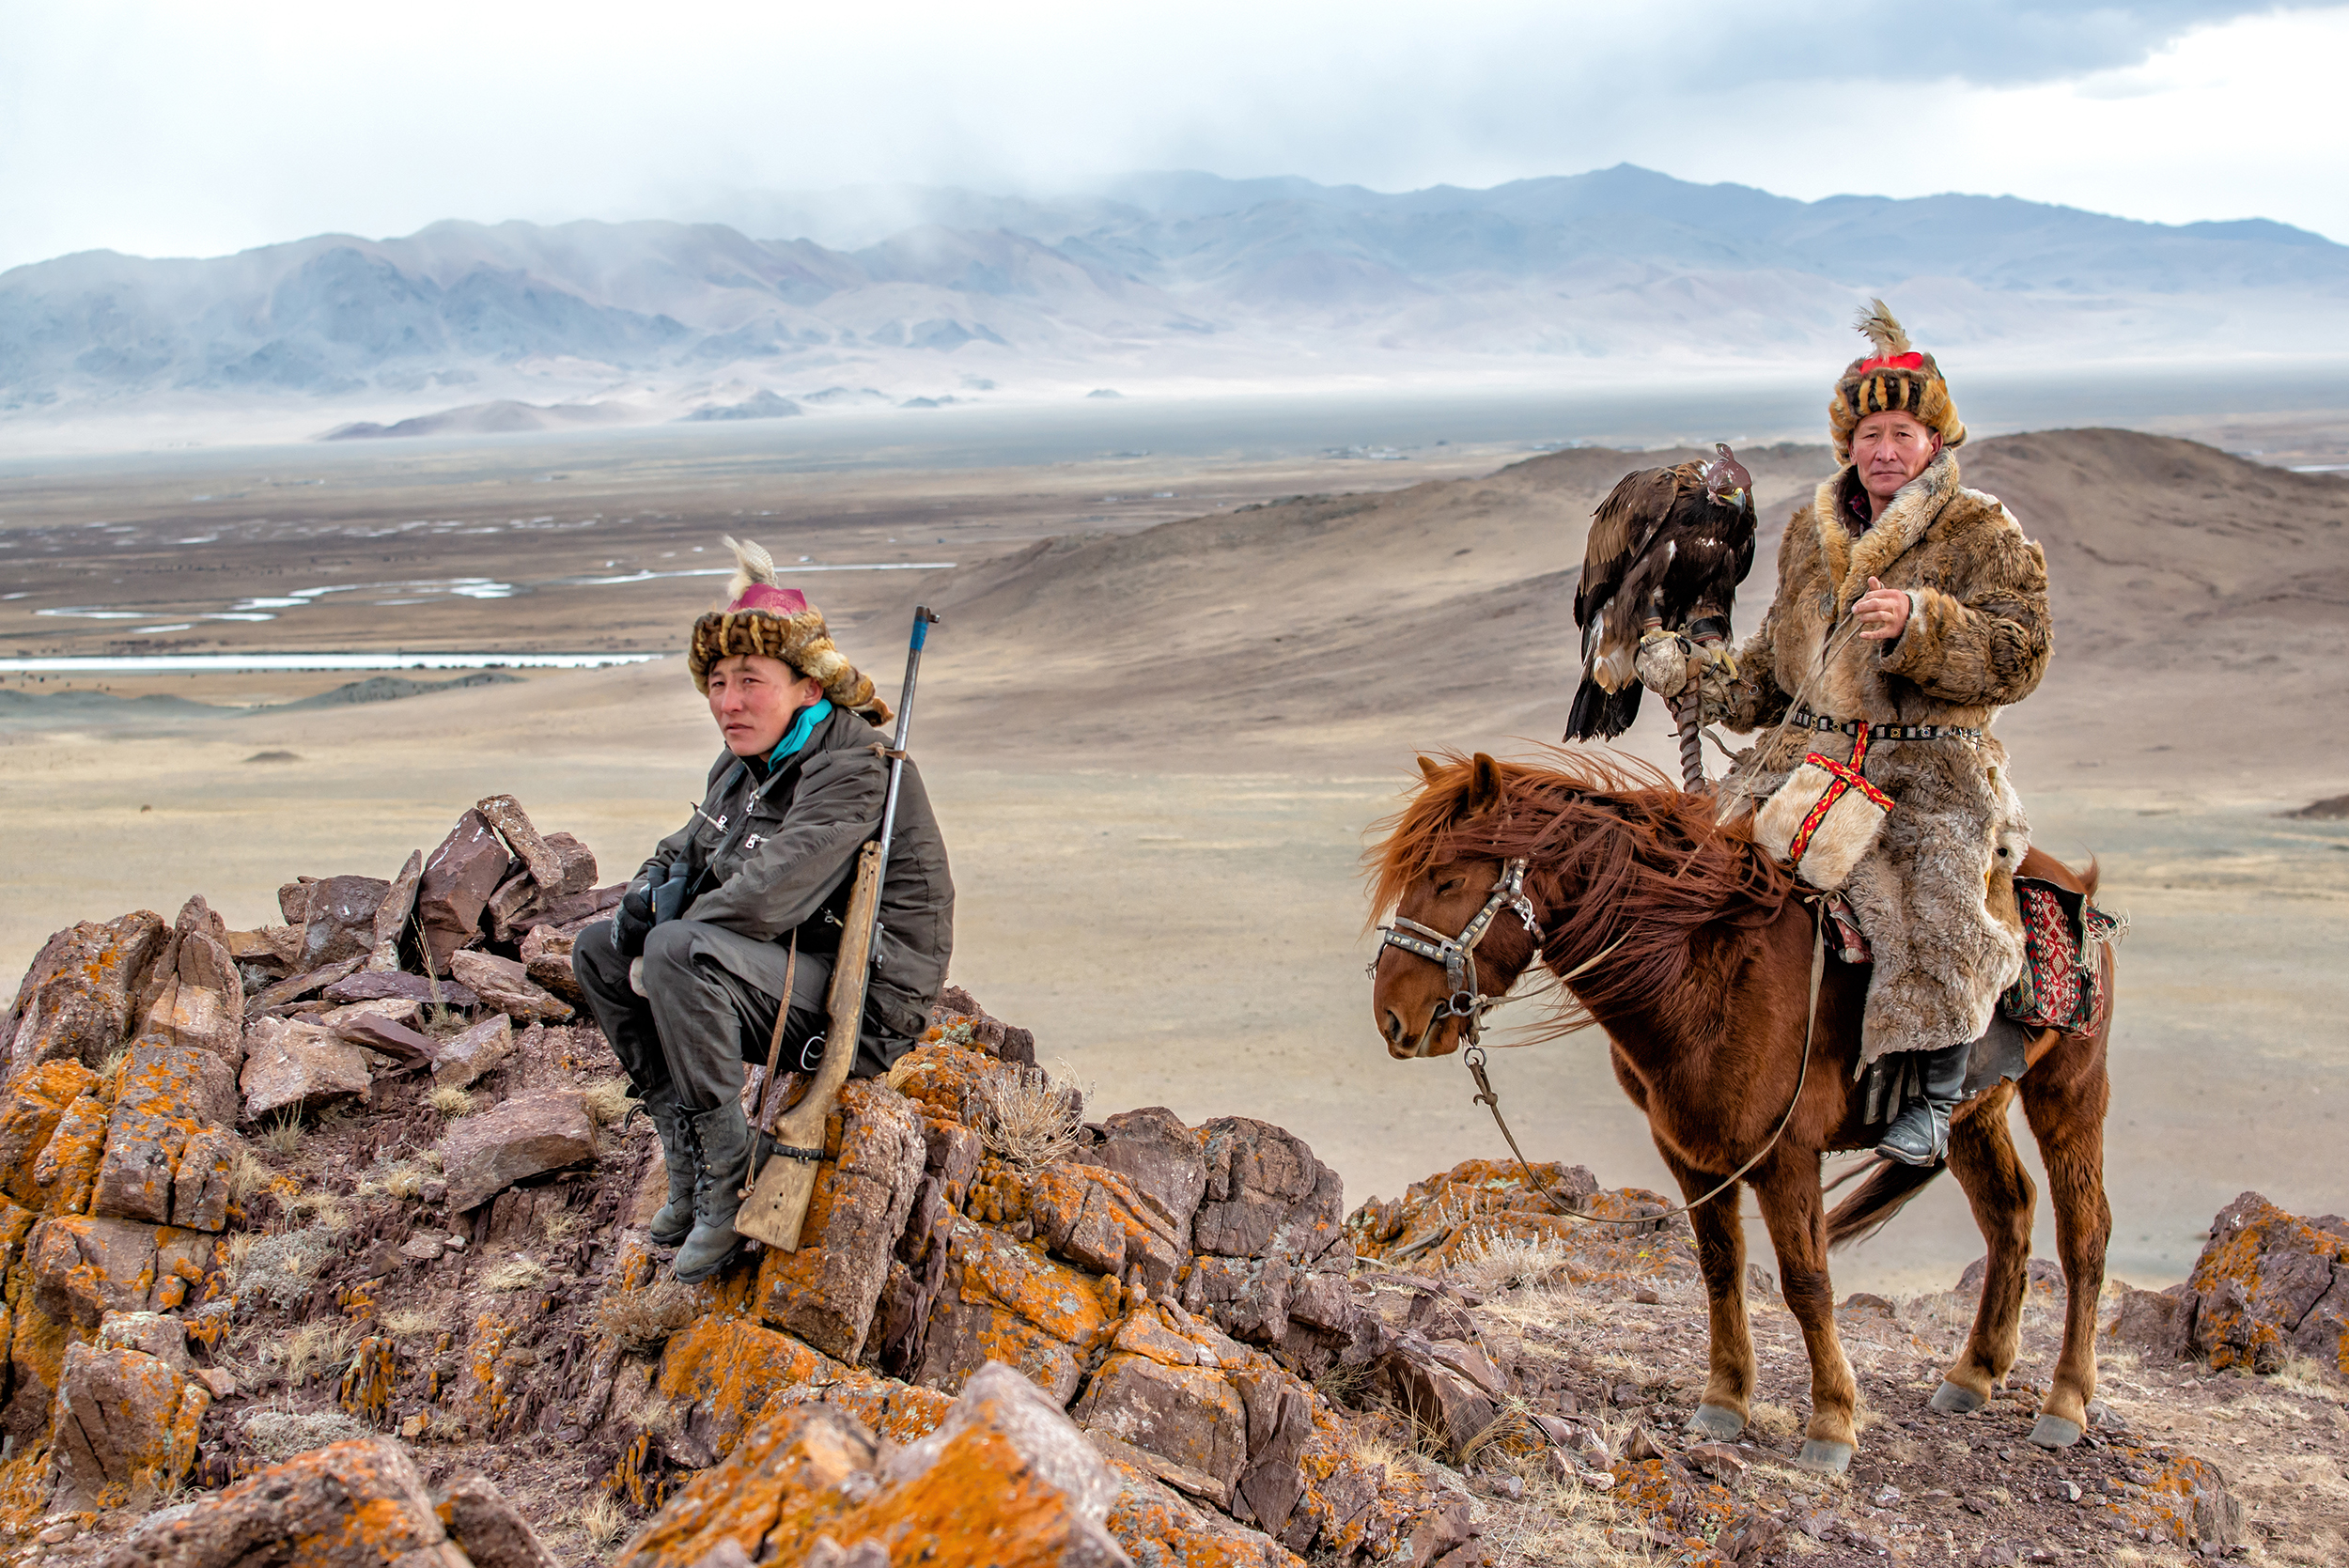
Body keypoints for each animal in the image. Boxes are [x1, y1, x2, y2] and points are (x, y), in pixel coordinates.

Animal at [1366, 750, 2115, 1474]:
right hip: (1974, 1112)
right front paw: (1724, 1400)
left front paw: (1832, 1424)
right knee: (2008, 1211)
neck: (1702, 973)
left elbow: (1807, 1282)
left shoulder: (1786, 1155)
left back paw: (2065, 1405)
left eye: (1447, 879)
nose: (1392, 1018)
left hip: (2069, 1092)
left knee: (2084, 1234)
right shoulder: (1690, 1152)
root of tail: (2070, 885)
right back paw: (1973, 1374)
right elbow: (1719, 1265)